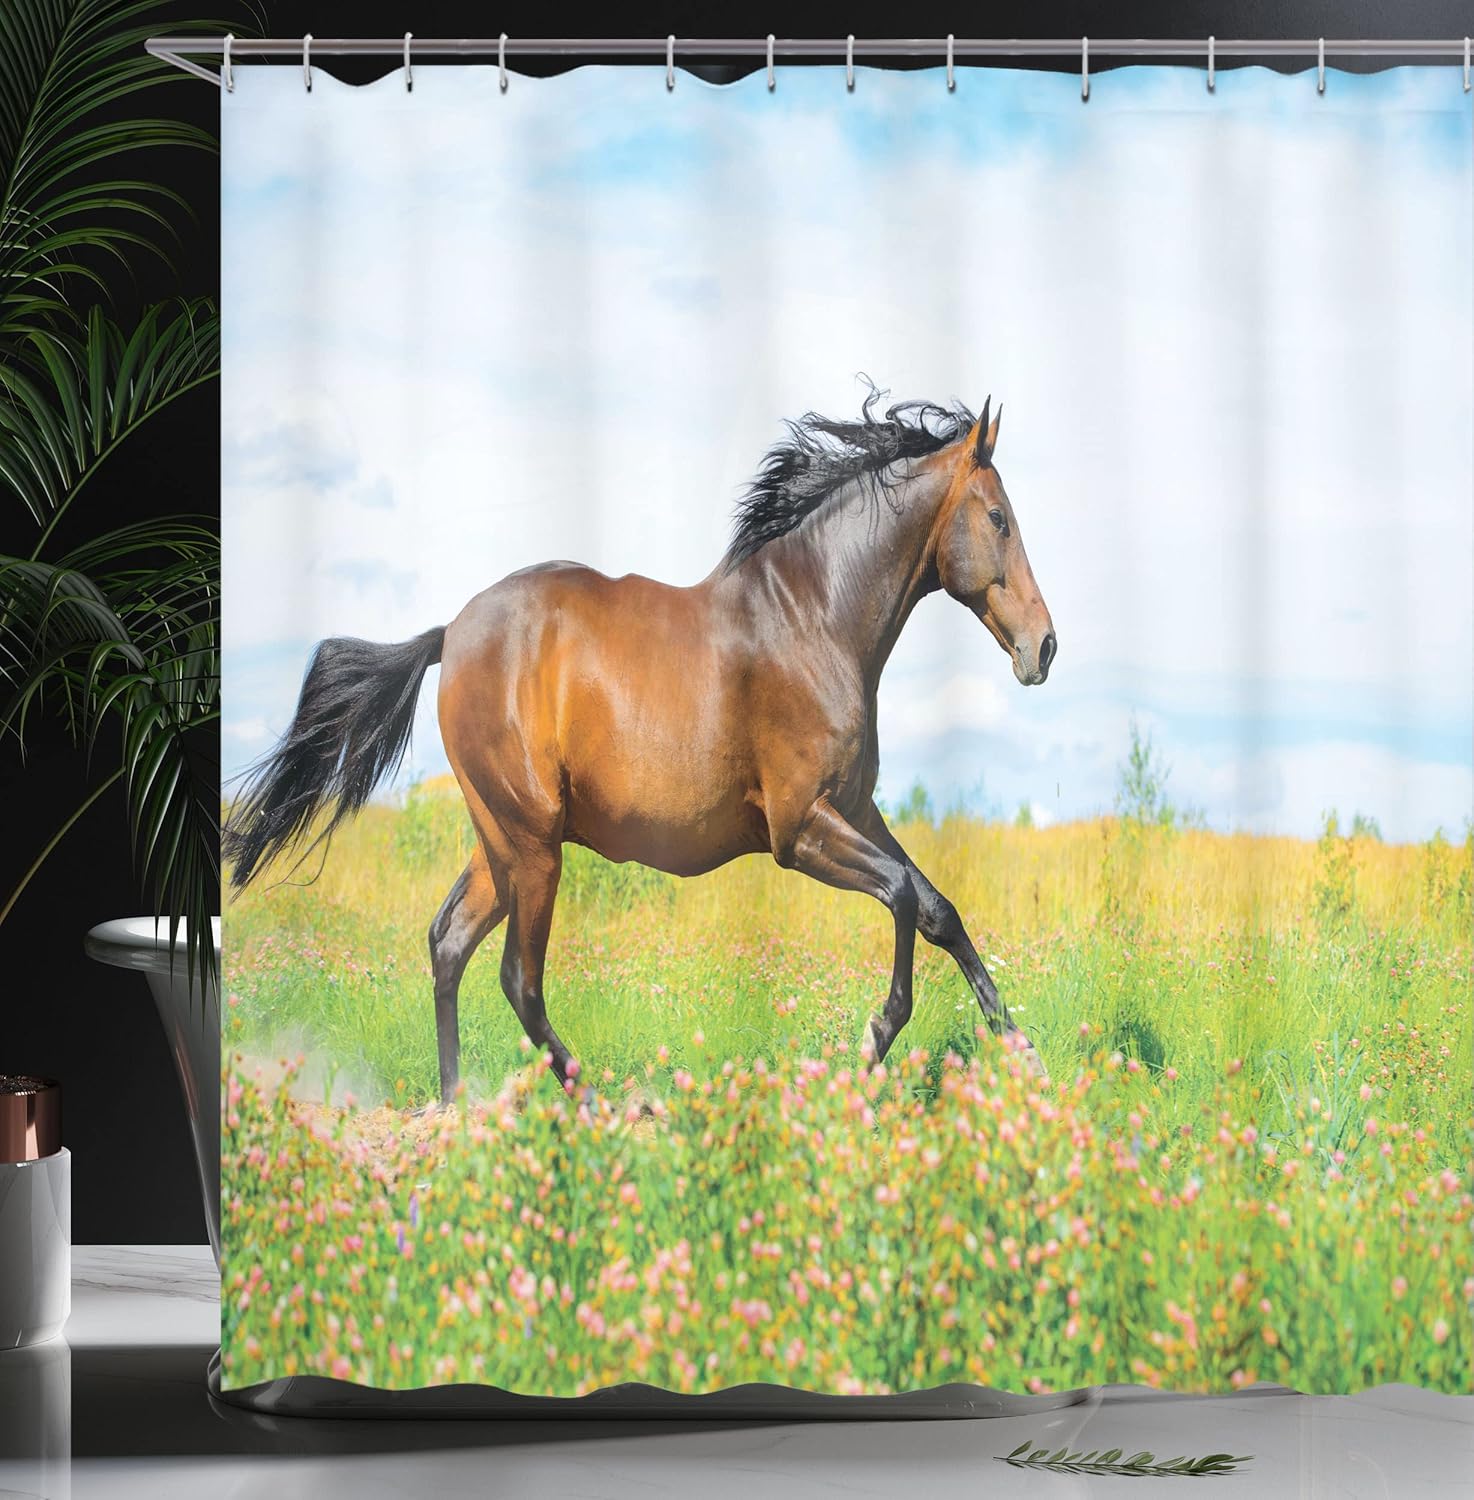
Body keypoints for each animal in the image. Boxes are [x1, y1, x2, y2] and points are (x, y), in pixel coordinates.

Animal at [224, 388, 1058, 1104]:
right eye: (999, 518)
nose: (1044, 648)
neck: (812, 619)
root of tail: (449, 636)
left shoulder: (855, 809)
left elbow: (938, 908)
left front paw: (1022, 1053)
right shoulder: (800, 830)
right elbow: (903, 896)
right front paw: (878, 1035)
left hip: (500, 844)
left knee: (448, 942)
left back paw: (456, 1104)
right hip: (533, 848)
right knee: (519, 979)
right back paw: (595, 1103)